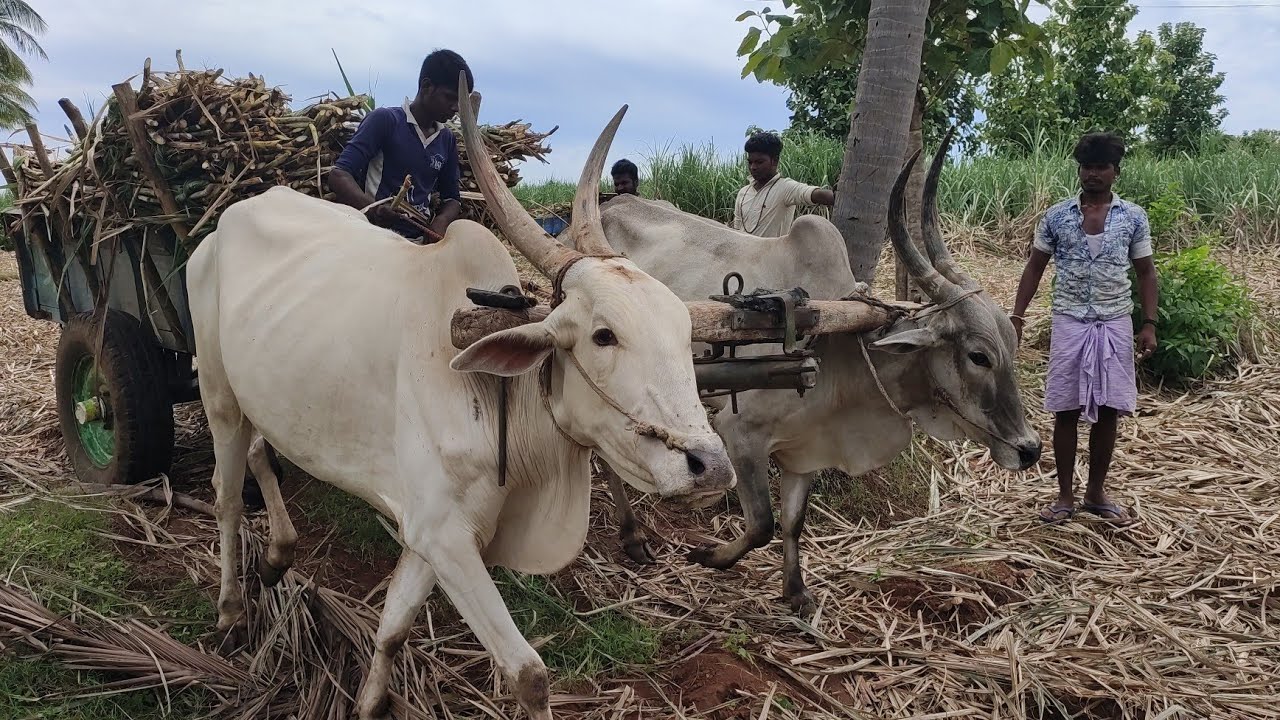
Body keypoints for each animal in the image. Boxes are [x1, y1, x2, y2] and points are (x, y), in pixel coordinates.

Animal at [186, 74, 735, 720]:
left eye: (683, 333)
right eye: (604, 335)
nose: (710, 466)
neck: (500, 401)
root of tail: (229, 219)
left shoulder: (430, 532)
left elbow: (393, 628)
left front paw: (370, 702)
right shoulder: (442, 533)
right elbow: (528, 674)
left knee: (257, 453)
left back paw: (278, 553)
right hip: (216, 389)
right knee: (225, 496)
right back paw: (230, 608)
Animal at [590, 133, 1043, 616]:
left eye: (1011, 345)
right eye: (979, 356)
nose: (1030, 450)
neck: (839, 342)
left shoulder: (807, 447)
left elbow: (793, 522)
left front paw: (796, 591)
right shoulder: (740, 433)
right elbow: (762, 525)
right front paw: (711, 556)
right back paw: (632, 536)